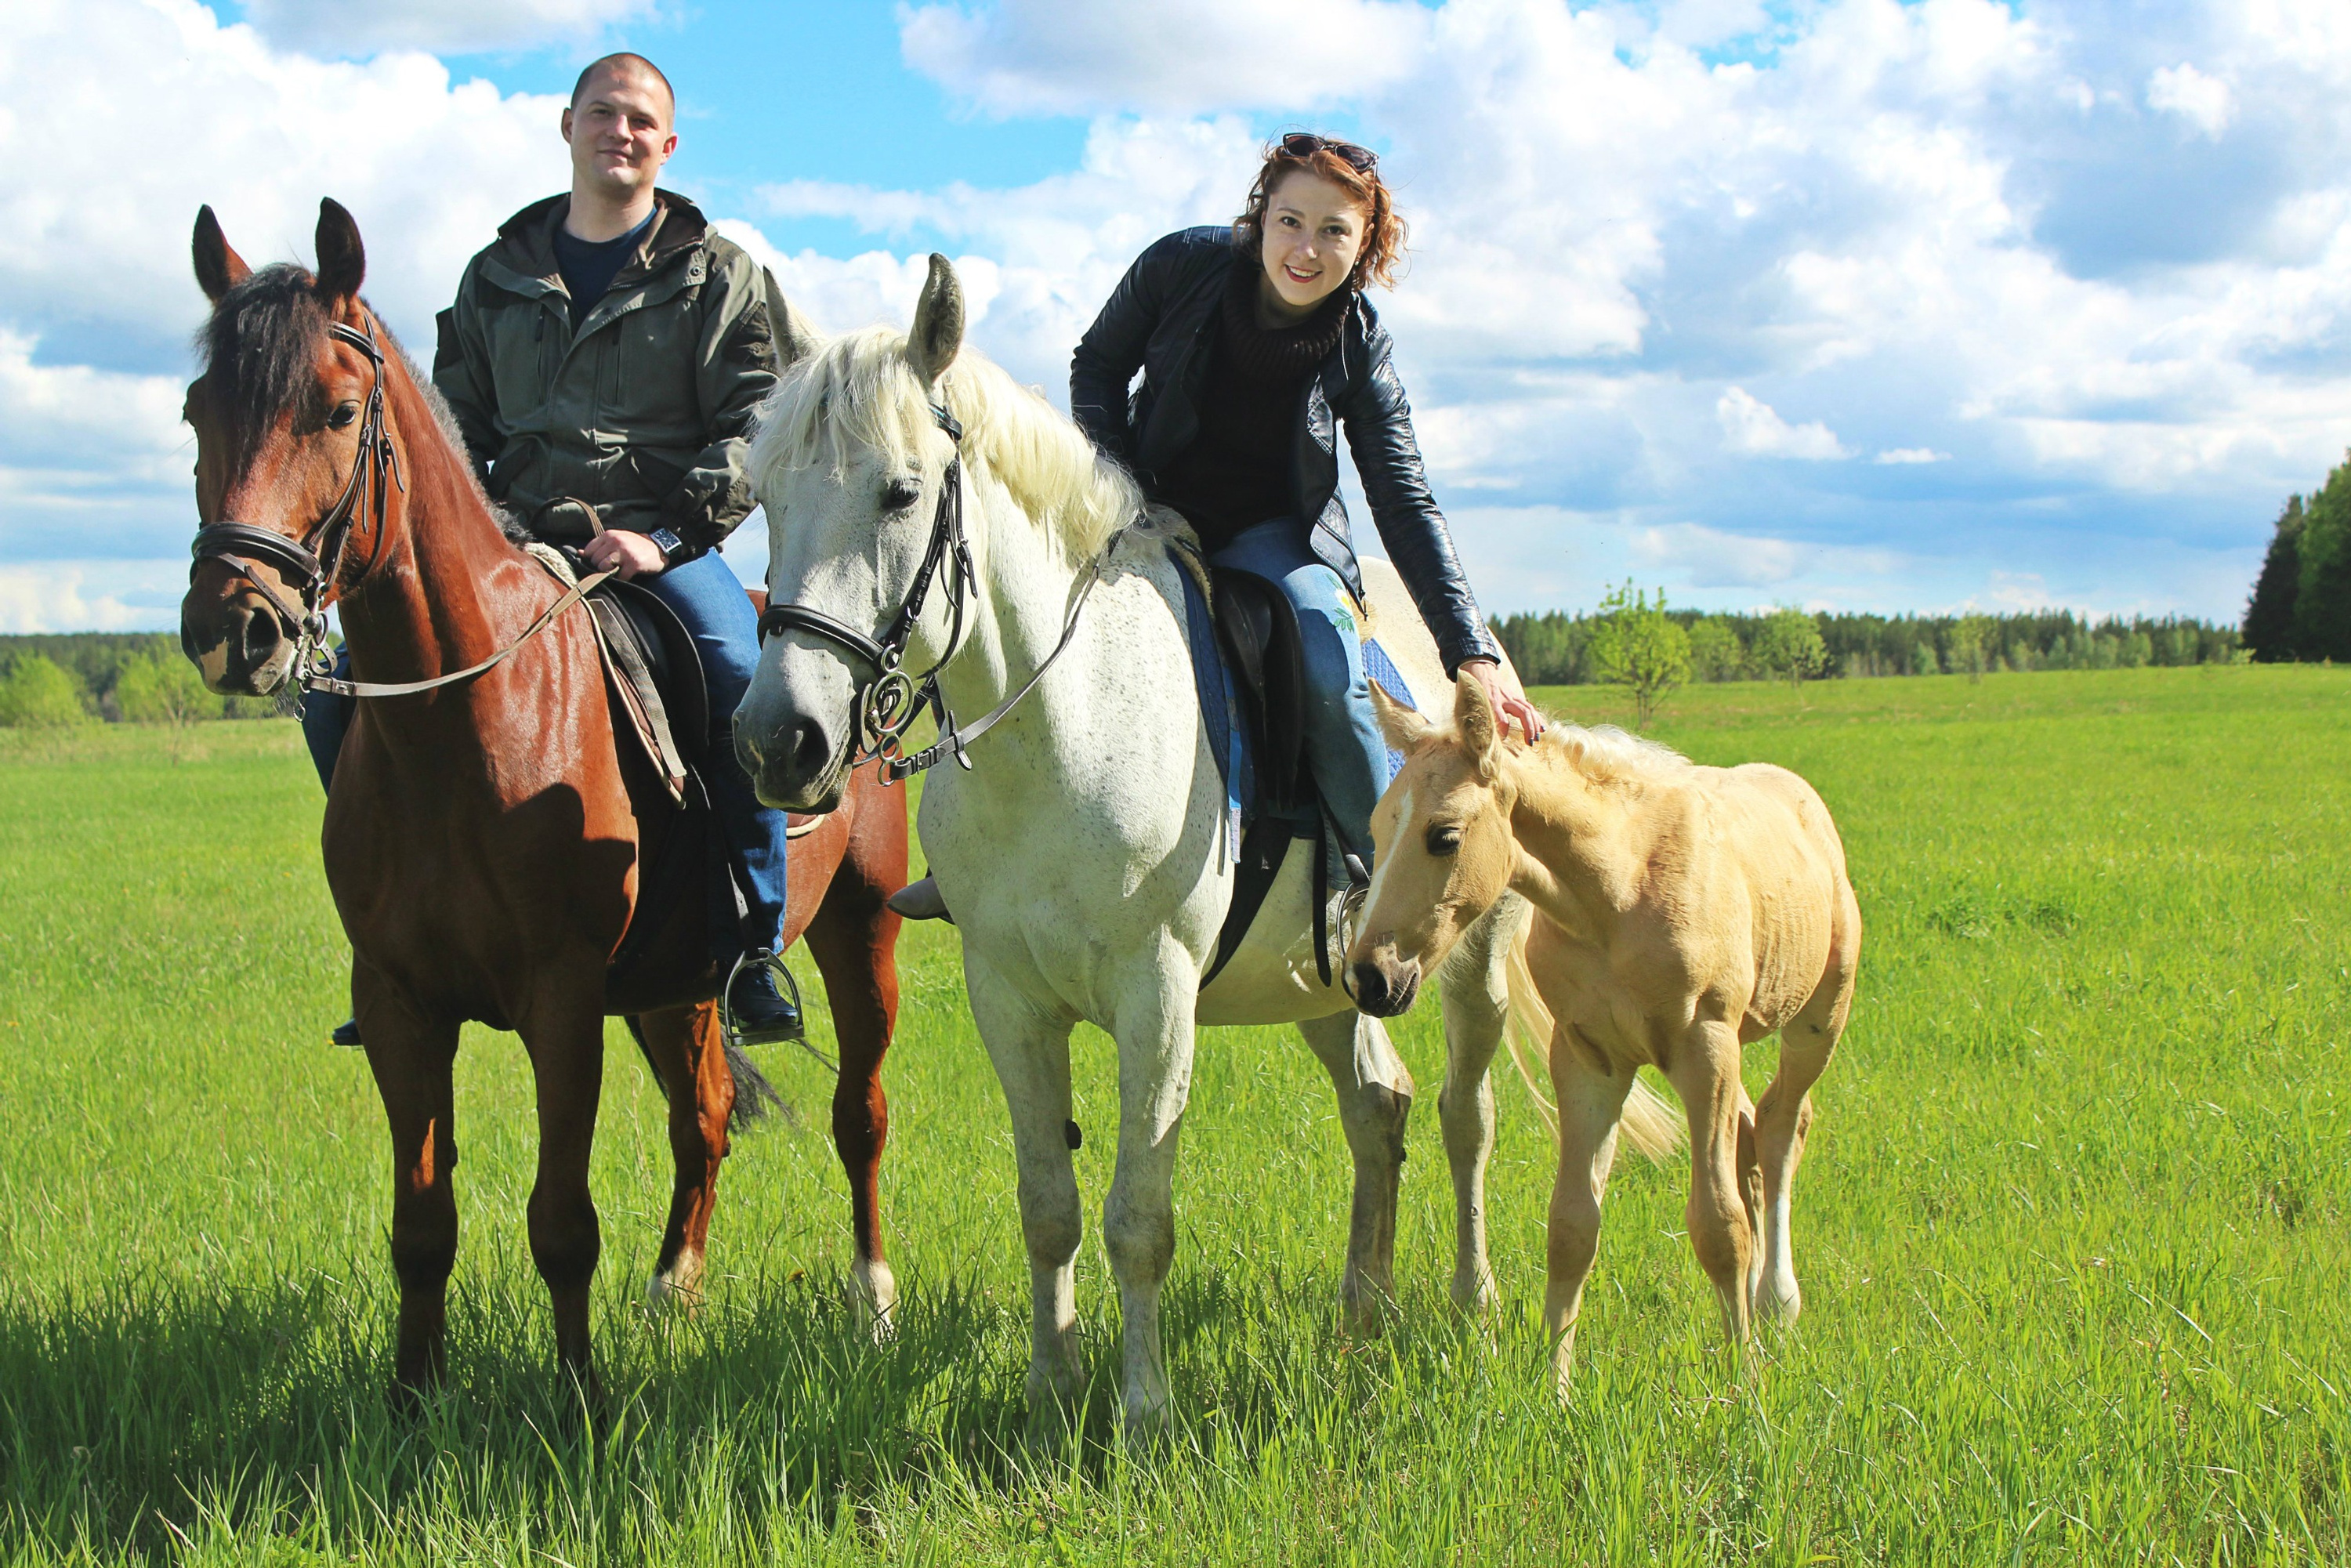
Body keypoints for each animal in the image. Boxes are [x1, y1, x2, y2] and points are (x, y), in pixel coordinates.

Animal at [174, 200, 903, 1401]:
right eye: (198, 411)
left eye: (337, 410)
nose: (234, 626)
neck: (459, 728)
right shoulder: (400, 1007)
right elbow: (421, 1223)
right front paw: (411, 1401)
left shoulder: (560, 1003)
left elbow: (562, 1222)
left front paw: (579, 1401)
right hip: (678, 986)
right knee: (703, 1123)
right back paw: (672, 1293)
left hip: (862, 925)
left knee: (862, 1117)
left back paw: (872, 1297)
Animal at [743, 257, 1683, 1439]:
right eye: (765, 496)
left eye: (901, 493)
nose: (779, 740)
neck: (1062, 723)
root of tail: (1489, 675)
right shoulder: (1008, 995)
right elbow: (1048, 1206)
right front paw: (1052, 1390)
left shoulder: (1156, 994)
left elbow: (1139, 1216)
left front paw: (1144, 1410)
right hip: (1333, 978)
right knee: (1378, 1107)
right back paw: (1361, 1310)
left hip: (1466, 967)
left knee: (1465, 1118)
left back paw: (1471, 1304)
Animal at [1354, 682, 1862, 1392]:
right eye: (1378, 827)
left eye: (1443, 836)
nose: (1370, 976)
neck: (1620, 888)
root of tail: (1803, 798)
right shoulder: (1589, 1058)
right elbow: (1572, 1226)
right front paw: (1555, 1385)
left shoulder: (1705, 1046)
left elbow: (1719, 1225)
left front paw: (1745, 1383)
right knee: (1749, 1131)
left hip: (1817, 1020)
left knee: (1785, 1126)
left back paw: (1776, 1304)